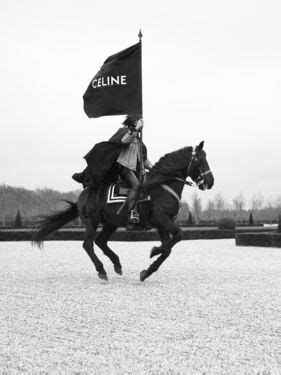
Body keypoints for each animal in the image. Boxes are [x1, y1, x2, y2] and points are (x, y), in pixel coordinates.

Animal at [32, 142, 212, 282]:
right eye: (201, 160)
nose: (210, 182)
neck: (162, 185)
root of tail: (84, 193)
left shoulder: (164, 224)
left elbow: (168, 249)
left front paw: (147, 271)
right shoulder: (162, 219)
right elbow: (178, 236)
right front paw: (154, 251)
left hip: (111, 223)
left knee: (100, 241)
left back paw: (117, 264)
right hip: (92, 221)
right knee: (88, 244)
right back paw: (102, 270)